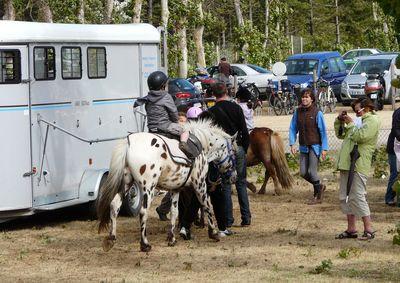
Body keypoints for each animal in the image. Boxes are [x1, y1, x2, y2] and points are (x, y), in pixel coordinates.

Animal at [95, 120, 236, 253]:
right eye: (234, 152)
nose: (233, 176)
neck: (201, 145)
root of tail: (129, 143)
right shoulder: (200, 184)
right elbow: (206, 205)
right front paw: (213, 233)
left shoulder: (176, 189)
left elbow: (174, 212)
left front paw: (172, 238)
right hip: (148, 188)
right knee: (143, 212)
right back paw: (144, 244)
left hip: (127, 184)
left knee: (114, 205)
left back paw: (111, 238)